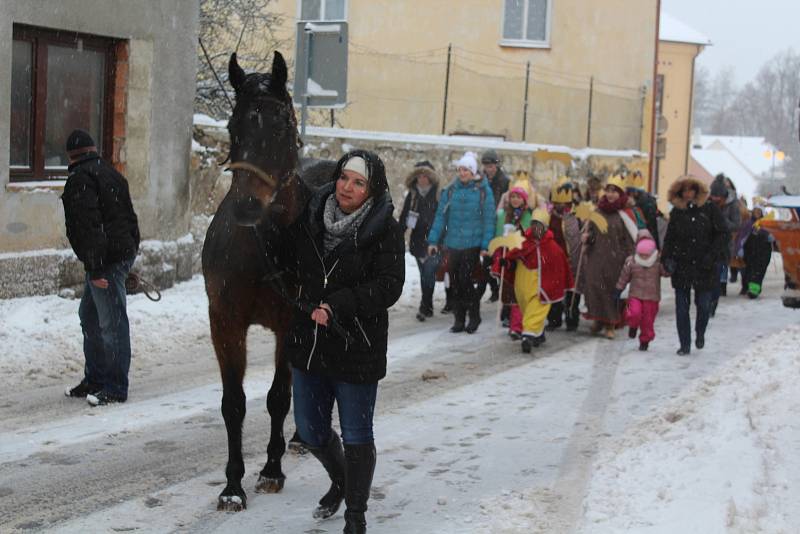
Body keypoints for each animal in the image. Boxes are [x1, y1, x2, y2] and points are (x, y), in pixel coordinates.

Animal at [203, 52, 334, 512]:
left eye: (280, 126)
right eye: (233, 126)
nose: (246, 206)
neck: (267, 245)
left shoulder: (292, 324)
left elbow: (279, 397)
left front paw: (271, 470)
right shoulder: (224, 321)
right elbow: (233, 403)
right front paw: (232, 485)